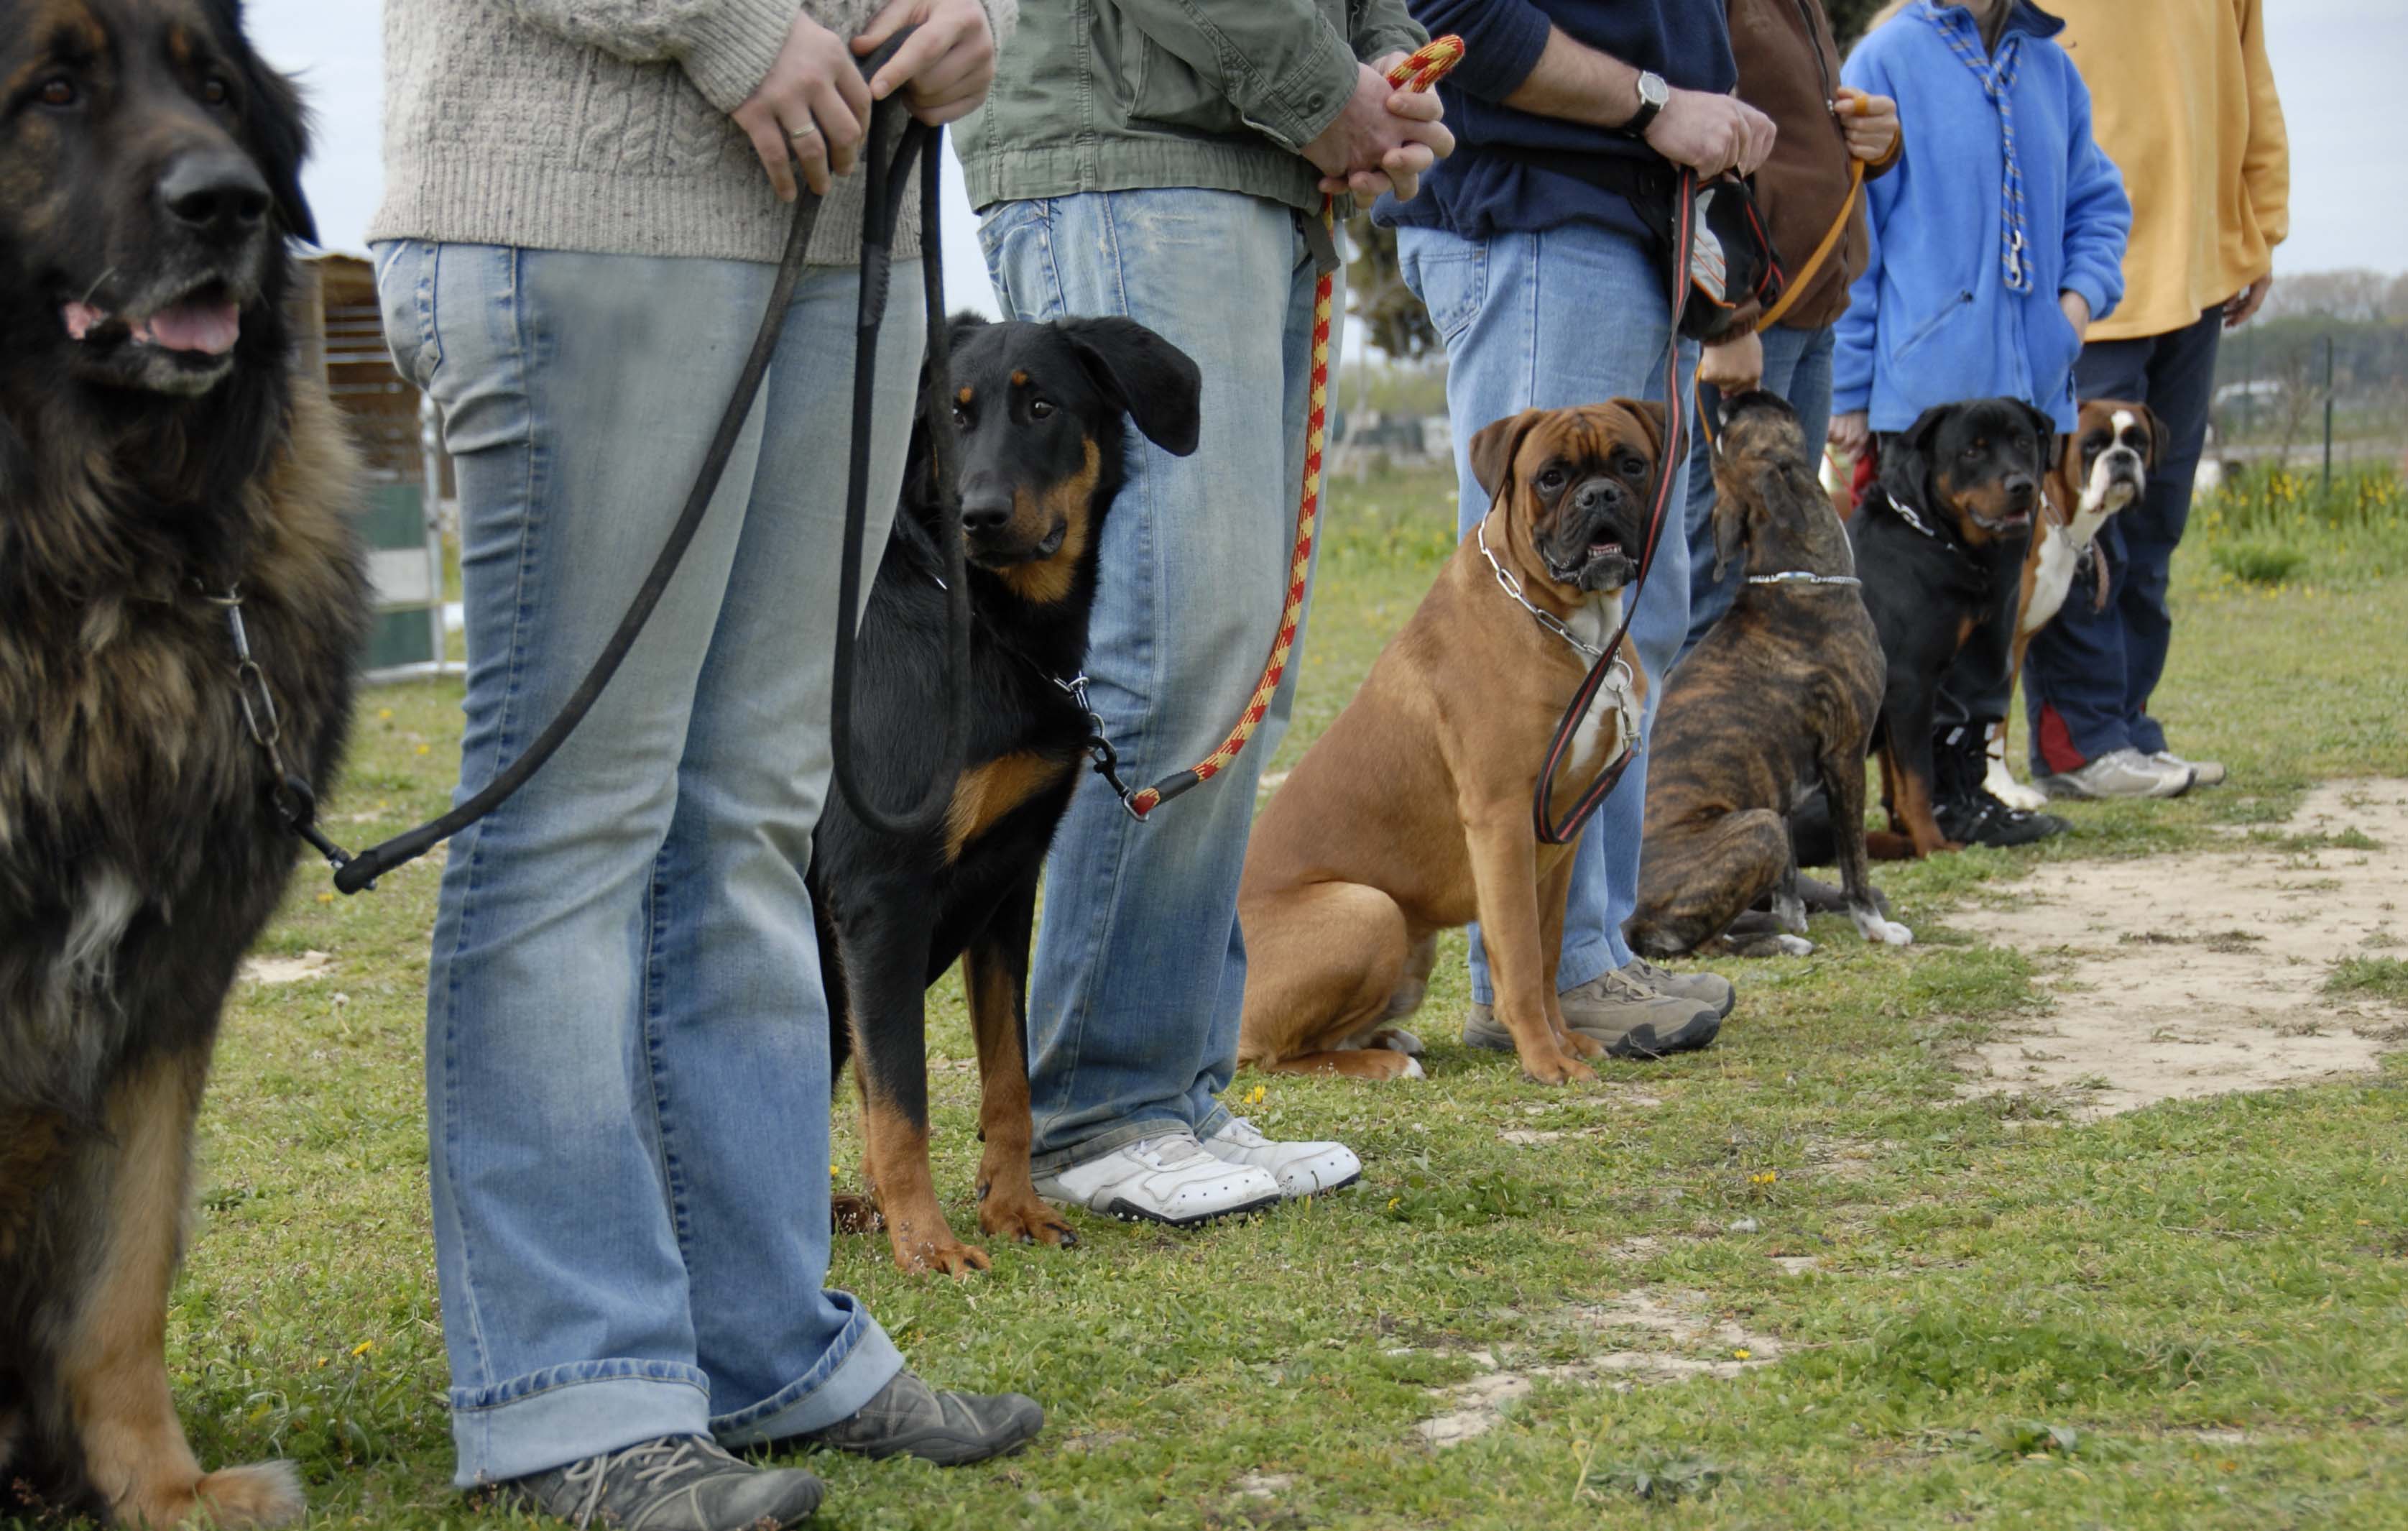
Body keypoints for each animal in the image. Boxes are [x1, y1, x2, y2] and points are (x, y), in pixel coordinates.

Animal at [813, 311, 1199, 1280]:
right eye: (950, 418)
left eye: (1042, 406)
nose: (979, 516)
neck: (983, 621)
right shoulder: (879, 895)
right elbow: (902, 1099)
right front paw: (927, 1242)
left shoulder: (1009, 880)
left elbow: (1009, 1079)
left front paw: (1013, 1209)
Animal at [1242, 399, 1656, 1083]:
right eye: (1550, 477)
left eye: (1632, 464)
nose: (1600, 494)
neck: (1565, 622)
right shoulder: (1502, 822)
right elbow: (1520, 958)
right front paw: (1545, 1060)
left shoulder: (1559, 836)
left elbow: (1547, 953)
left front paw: (1565, 1042)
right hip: (1368, 909)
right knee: (1275, 1056)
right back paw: (1381, 1063)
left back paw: (1388, 1040)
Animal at [1628, 385, 1906, 957]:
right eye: (1741, 421)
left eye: (1727, 431)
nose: (1730, 395)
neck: (1793, 577)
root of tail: (1626, 923)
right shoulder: (1846, 758)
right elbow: (1854, 861)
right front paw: (1873, 926)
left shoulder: (1778, 784)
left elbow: (1789, 877)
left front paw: (1793, 913)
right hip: (1757, 828)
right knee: (1706, 944)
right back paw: (1778, 944)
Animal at [1849, 397, 2042, 861]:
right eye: (1972, 452)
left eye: (2023, 442)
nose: (2021, 485)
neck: (1928, 532)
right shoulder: (1911, 683)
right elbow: (1918, 779)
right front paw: (1933, 843)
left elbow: (1899, 779)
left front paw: (1908, 836)